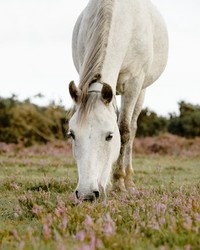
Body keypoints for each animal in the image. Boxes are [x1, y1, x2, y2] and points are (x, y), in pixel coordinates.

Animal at [68, 0, 168, 200]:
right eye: (72, 134)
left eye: (109, 136)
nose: (86, 194)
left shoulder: (134, 82)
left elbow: (125, 131)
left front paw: (119, 182)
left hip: (141, 89)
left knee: (133, 127)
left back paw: (128, 180)